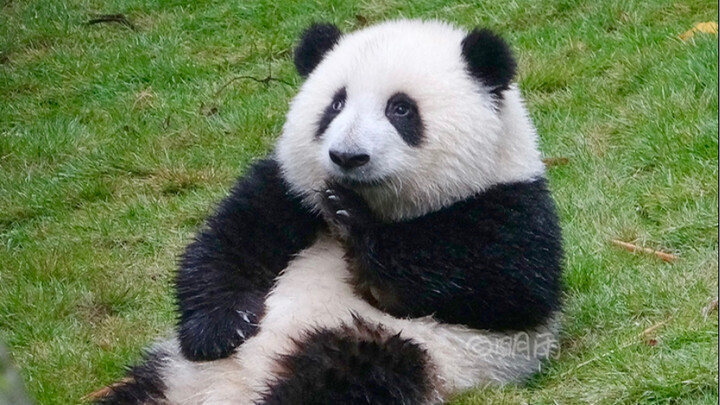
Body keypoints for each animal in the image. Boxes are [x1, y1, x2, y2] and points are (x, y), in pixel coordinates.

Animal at [96, 19, 563, 405]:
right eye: (335, 105)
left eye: (401, 109)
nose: (347, 157)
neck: (385, 204)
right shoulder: (291, 189)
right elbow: (230, 241)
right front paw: (221, 327)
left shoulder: (510, 204)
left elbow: (503, 283)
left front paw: (357, 226)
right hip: (169, 372)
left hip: (391, 346)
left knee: (337, 379)